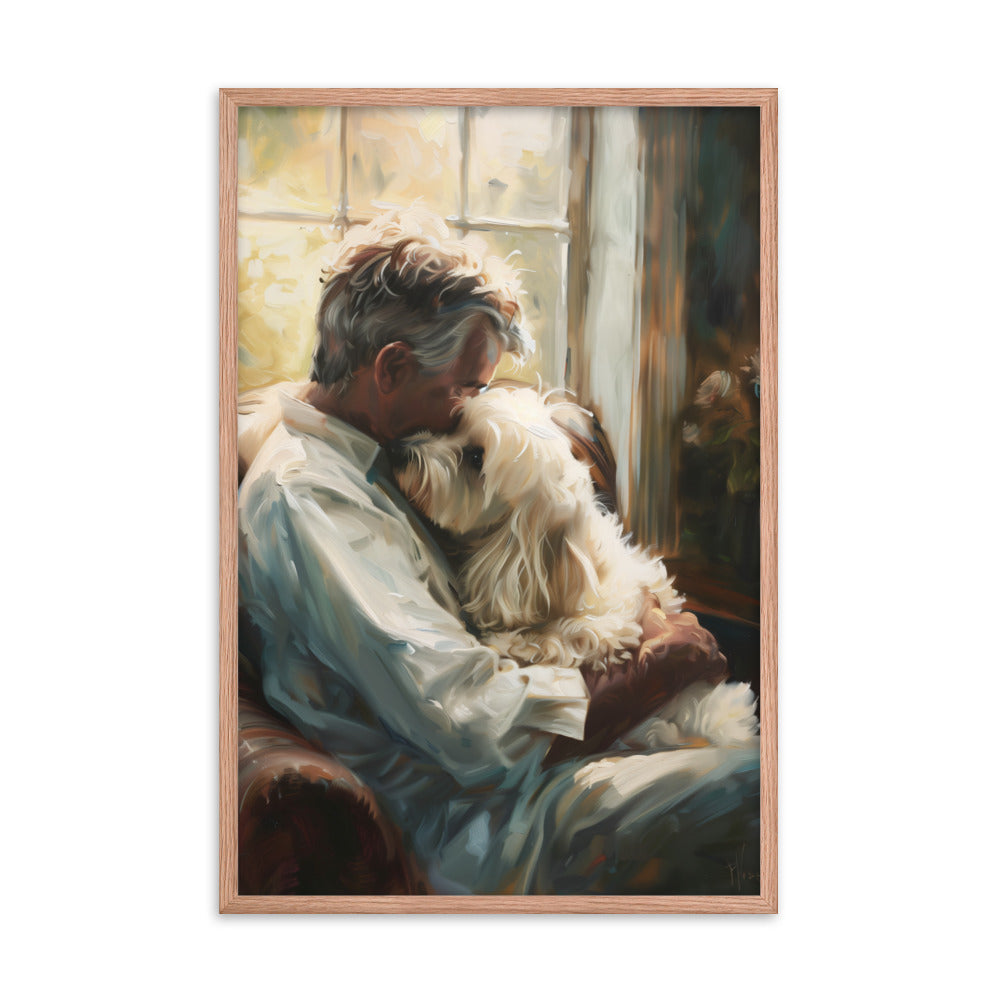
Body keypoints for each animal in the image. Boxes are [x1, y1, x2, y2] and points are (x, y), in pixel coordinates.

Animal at [394, 386, 752, 748]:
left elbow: (570, 637)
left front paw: (516, 643)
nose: (400, 450)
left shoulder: (613, 622)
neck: (563, 562)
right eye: (455, 425)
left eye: (476, 458)